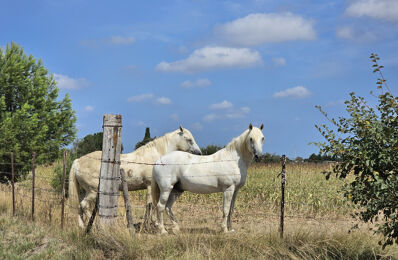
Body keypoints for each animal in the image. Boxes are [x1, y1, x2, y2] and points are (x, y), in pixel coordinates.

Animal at [67, 127, 202, 229]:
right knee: (84, 205)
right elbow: (151, 204)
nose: (199, 153)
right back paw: (94, 224)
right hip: (93, 191)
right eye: (189, 139)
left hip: (84, 191)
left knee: (79, 206)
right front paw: (153, 223)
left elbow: (150, 205)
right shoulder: (150, 186)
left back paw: (82, 226)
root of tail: (78, 161)